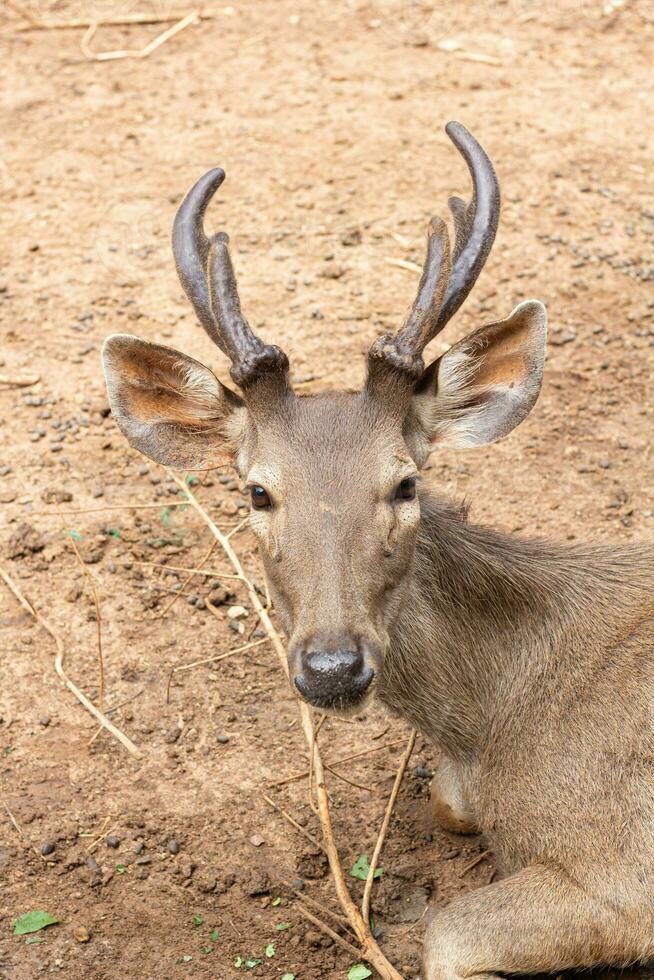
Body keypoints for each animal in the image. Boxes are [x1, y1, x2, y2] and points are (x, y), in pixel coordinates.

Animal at [102, 124, 654, 980]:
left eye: (404, 483)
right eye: (256, 492)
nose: (333, 668)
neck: (492, 722)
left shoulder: (625, 867)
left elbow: (447, 931)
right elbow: (444, 800)